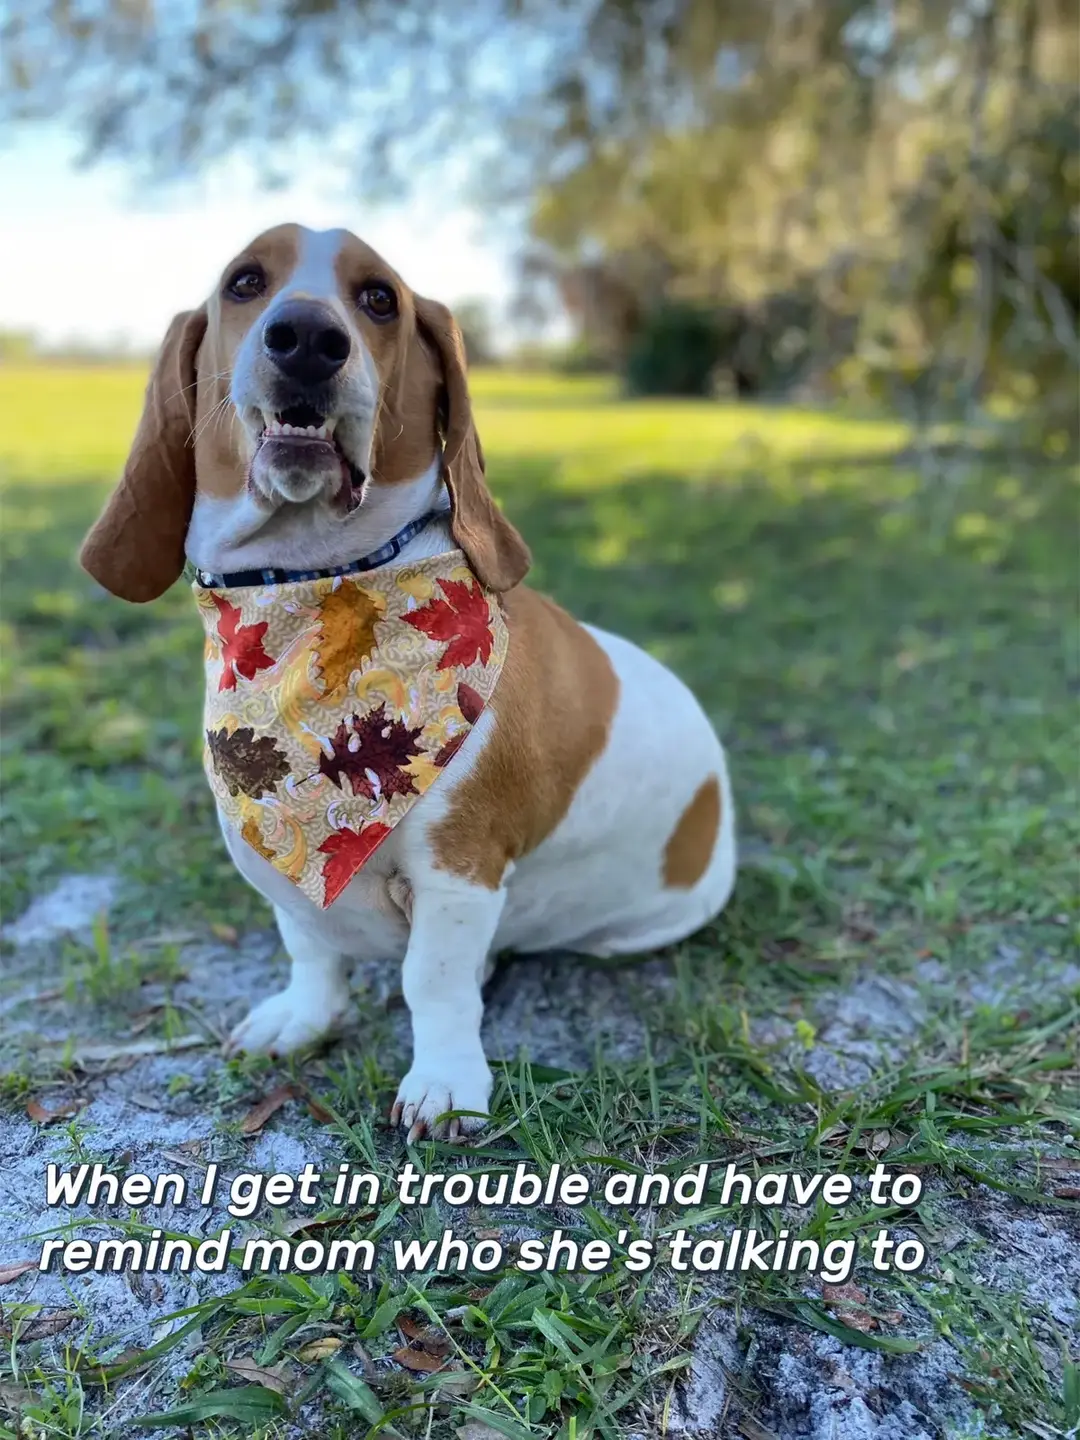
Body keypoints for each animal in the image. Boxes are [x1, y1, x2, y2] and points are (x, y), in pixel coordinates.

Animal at [80, 224, 743, 1140]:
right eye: (245, 282)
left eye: (379, 299)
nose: (307, 337)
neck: (314, 598)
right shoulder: (279, 871)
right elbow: (309, 946)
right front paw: (303, 1018)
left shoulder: (457, 870)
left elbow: (433, 981)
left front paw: (446, 1083)